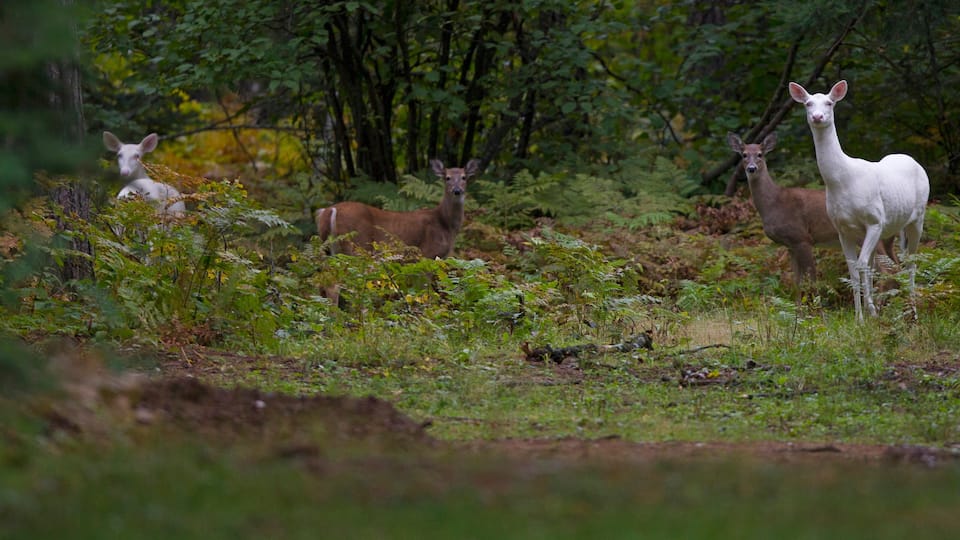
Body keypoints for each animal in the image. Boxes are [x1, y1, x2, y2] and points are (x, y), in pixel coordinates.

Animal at [314, 158, 481, 305]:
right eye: (447, 178)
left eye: (464, 177)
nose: (457, 191)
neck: (444, 224)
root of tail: (329, 211)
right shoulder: (426, 254)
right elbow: (425, 291)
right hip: (356, 249)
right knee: (340, 285)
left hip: (328, 251)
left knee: (323, 283)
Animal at [727, 132, 898, 286]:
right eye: (744, 155)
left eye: (760, 154)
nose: (751, 168)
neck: (774, 203)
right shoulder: (790, 245)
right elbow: (797, 283)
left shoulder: (802, 237)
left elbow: (813, 280)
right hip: (887, 240)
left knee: (889, 271)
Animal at [788, 80, 929, 321]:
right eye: (808, 103)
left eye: (829, 102)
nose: (817, 117)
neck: (844, 180)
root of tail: (913, 161)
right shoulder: (842, 228)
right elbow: (854, 270)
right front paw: (860, 317)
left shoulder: (874, 220)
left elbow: (862, 265)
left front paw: (867, 313)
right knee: (885, 263)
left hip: (917, 216)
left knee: (910, 262)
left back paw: (913, 313)